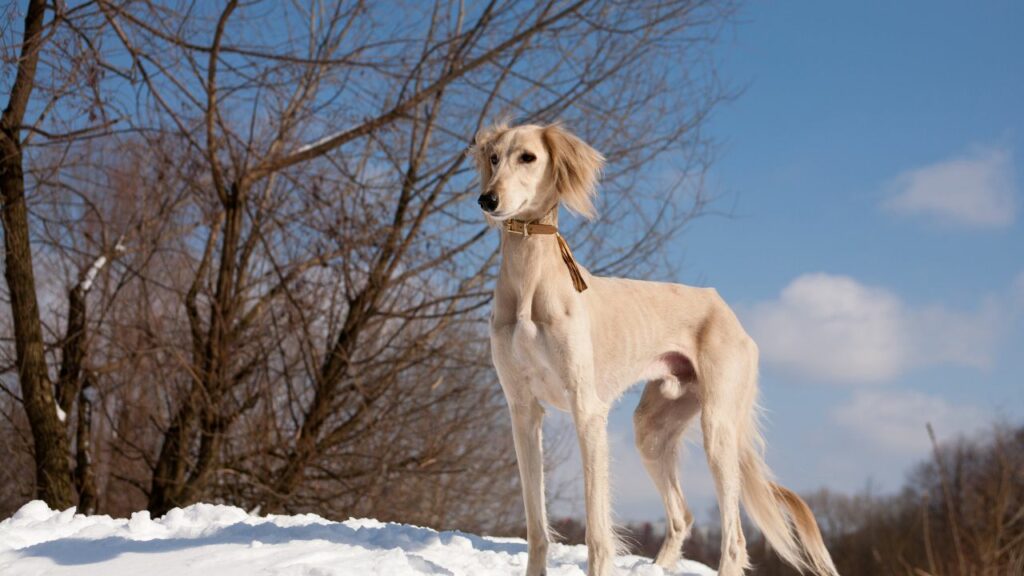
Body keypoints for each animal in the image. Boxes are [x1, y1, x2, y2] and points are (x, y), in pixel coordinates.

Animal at [471, 121, 839, 573]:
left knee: (734, 539)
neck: (529, 283)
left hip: (718, 428)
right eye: (493, 158)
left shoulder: (586, 409)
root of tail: (726, 308)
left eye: (528, 157)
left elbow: (597, 532)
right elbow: (537, 527)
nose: (488, 200)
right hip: (652, 428)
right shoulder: (523, 410)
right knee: (682, 516)